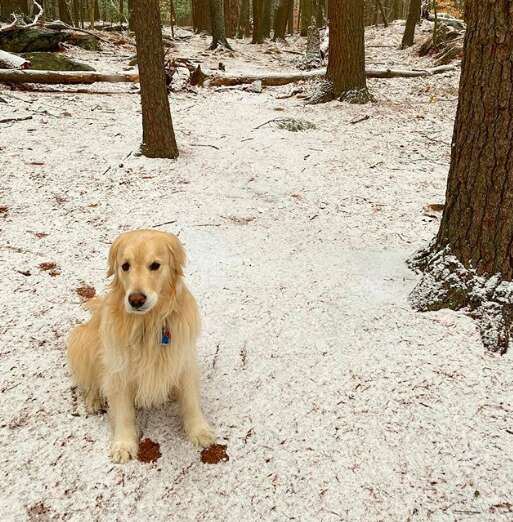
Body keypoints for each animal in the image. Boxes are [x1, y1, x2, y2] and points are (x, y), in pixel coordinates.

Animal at [66, 230, 214, 462]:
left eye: (155, 265)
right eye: (125, 265)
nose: (136, 299)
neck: (148, 322)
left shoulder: (183, 359)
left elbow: (190, 400)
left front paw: (199, 430)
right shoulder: (118, 369)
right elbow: (124, 412)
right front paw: (124, 444)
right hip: (82, 340)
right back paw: (94, 399)